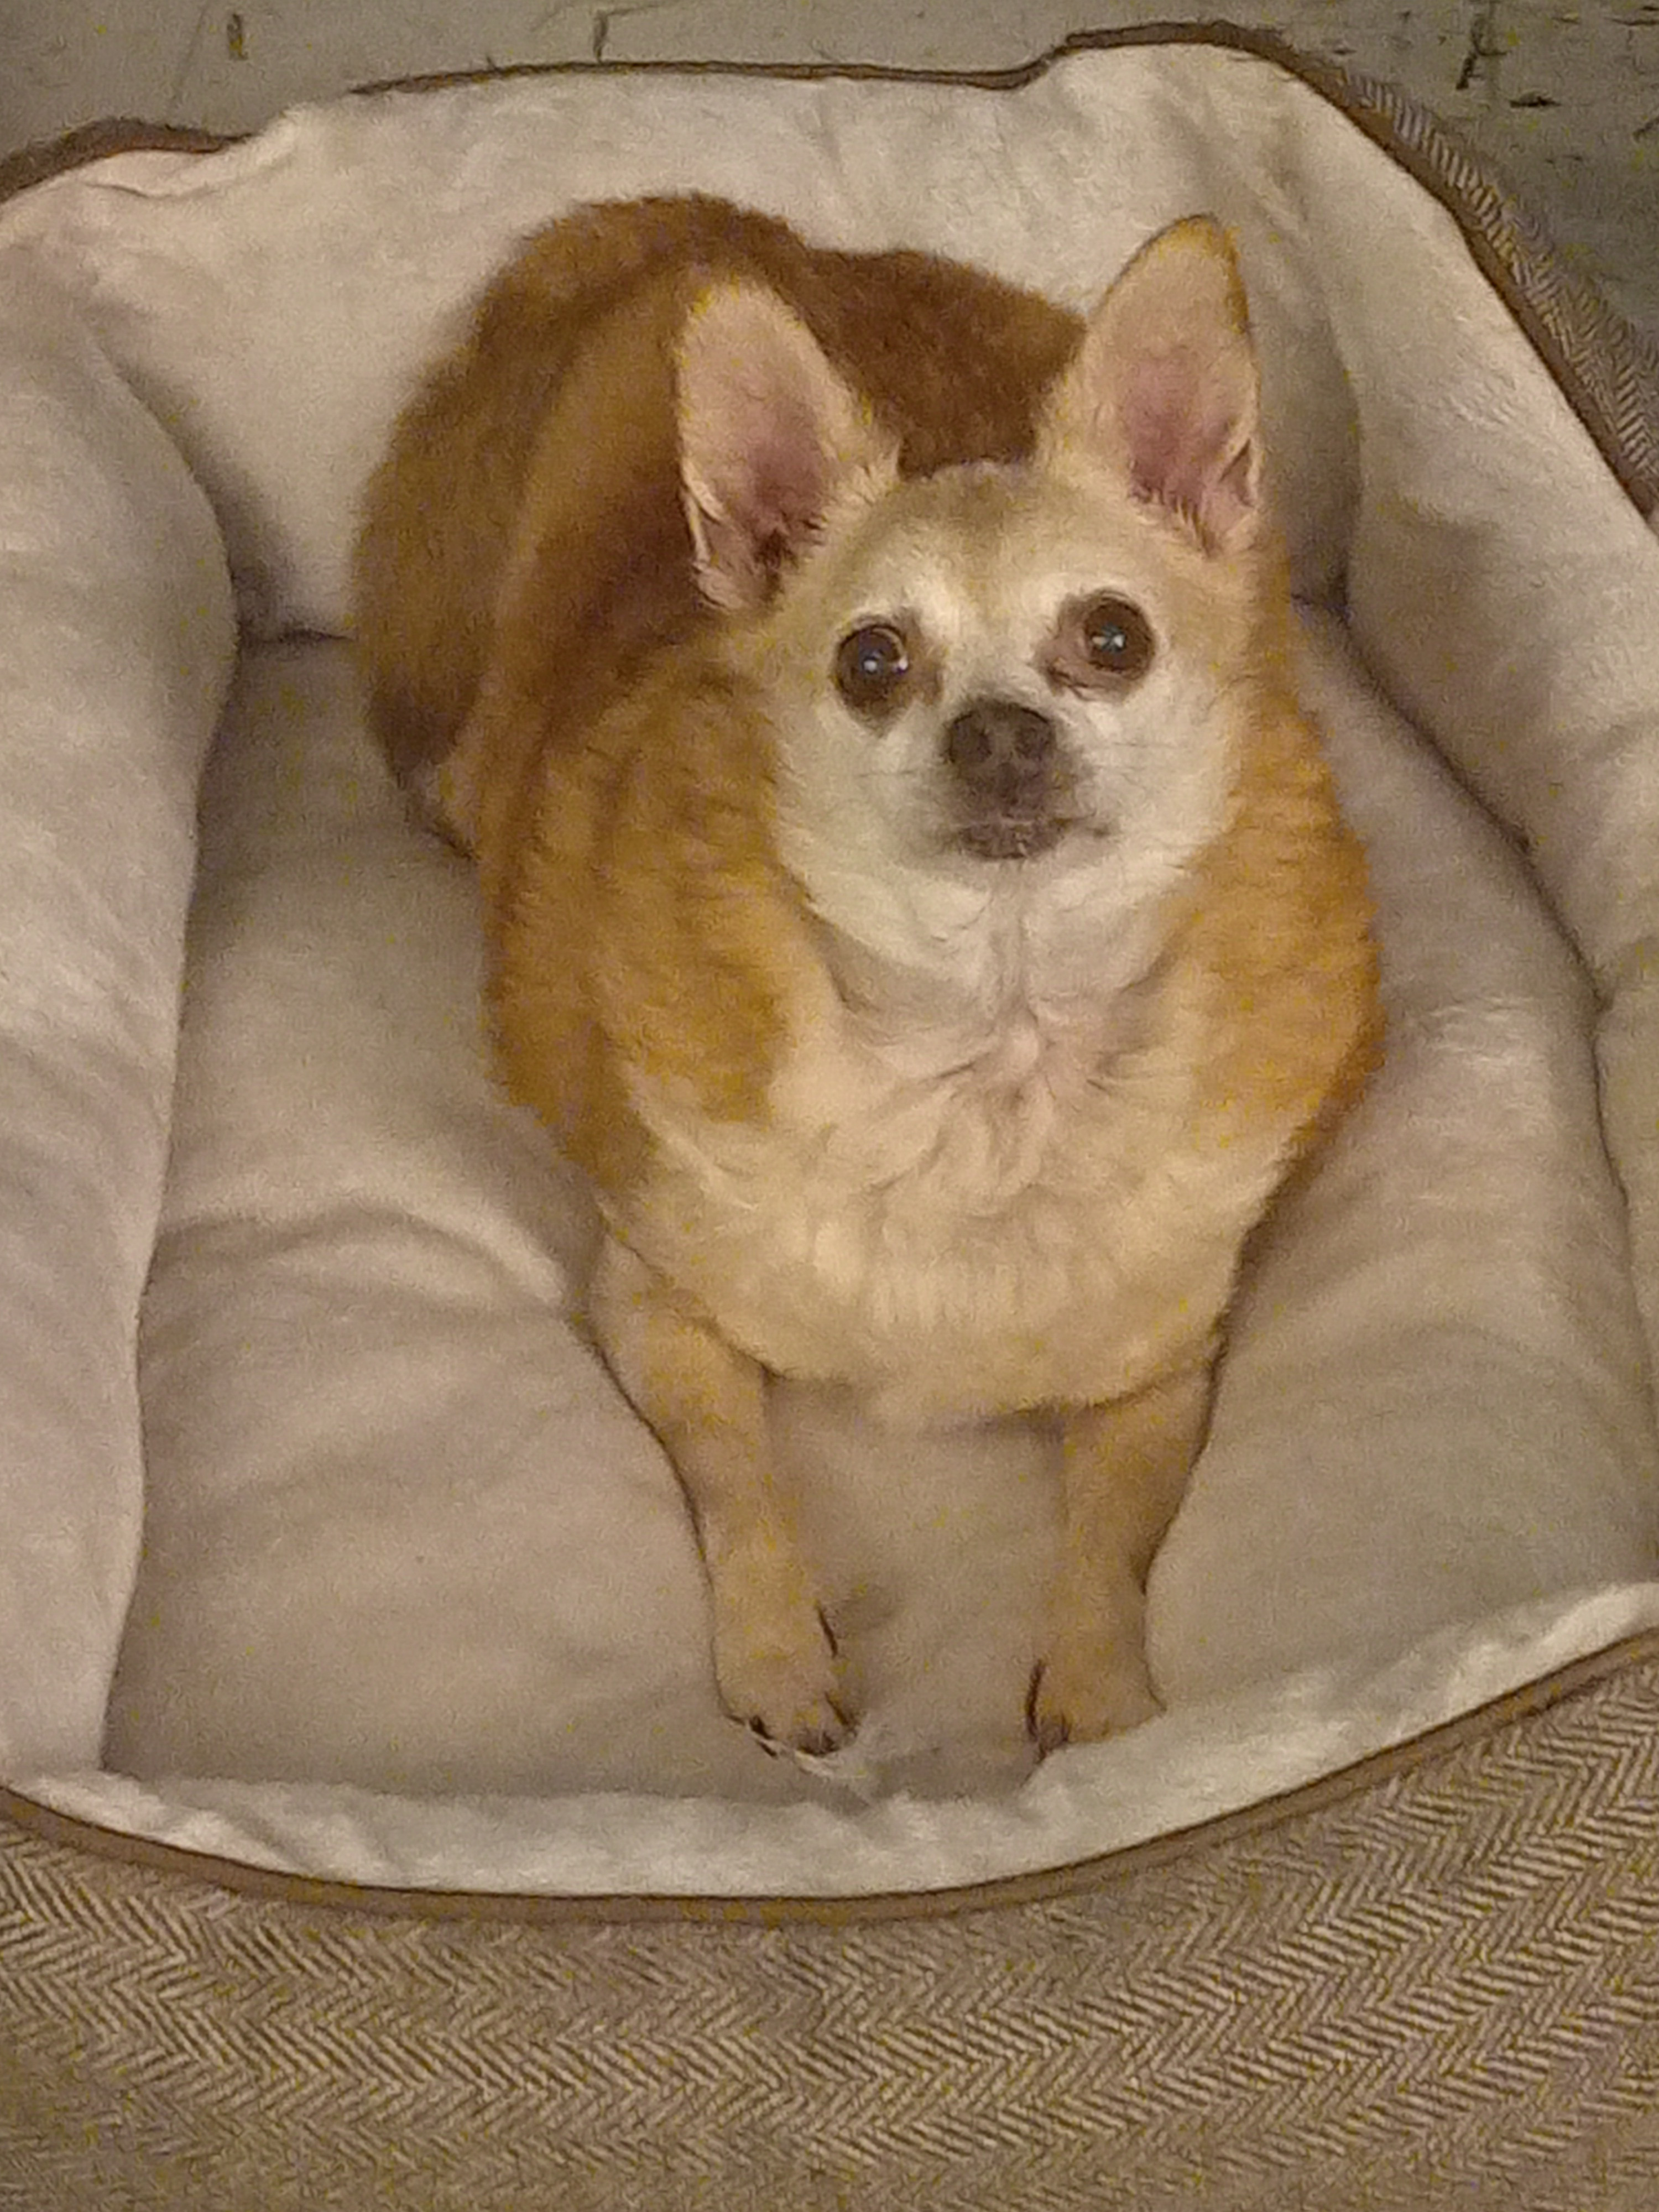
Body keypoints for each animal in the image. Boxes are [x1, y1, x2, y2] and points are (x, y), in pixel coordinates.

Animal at [352, 199, 1380, 1761]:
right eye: (873, 661)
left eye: (1114, 637)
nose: (1001, 731)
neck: (992, 1046)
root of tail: (724, 225)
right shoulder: (654, 1304)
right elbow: (735, 1476)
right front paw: (778, 1648)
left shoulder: (1161, 1371)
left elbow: (1112, 1528)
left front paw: (1098, 1686)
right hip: (484, 761)